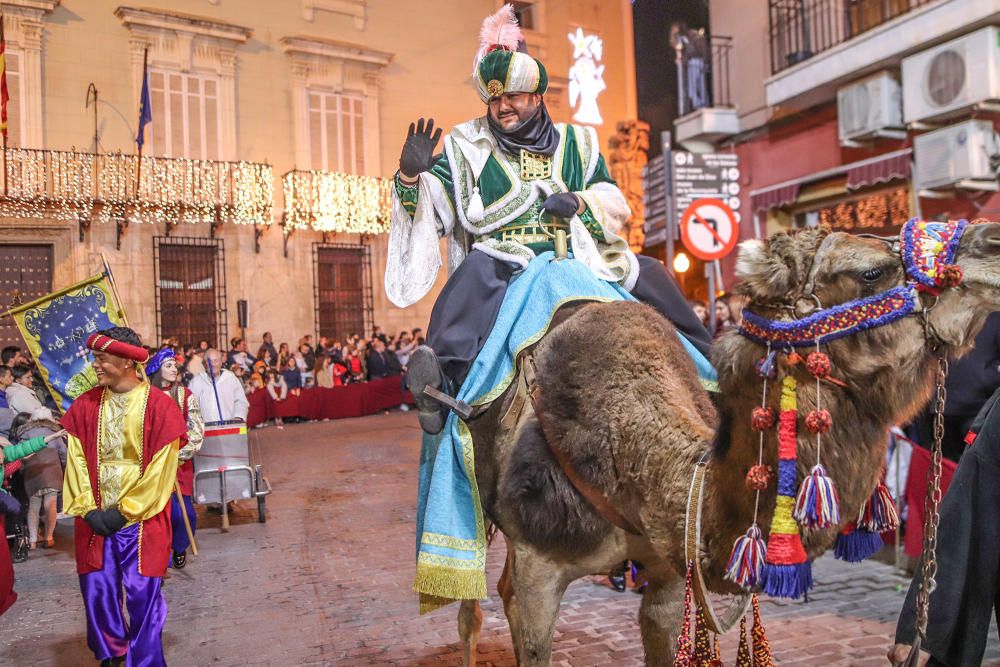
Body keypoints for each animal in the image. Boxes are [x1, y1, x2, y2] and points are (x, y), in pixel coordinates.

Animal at [444, 222, 1000, 664]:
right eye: (871, 272)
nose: (993, 238)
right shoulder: (538, 564)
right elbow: (526, 625)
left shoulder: (669, 571)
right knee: (474, 604)